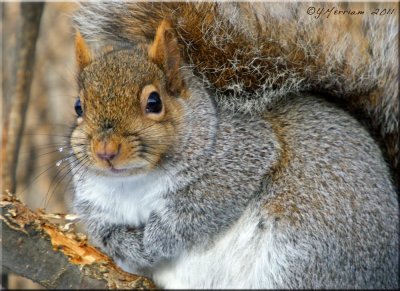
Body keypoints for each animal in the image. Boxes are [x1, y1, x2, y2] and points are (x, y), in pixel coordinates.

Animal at [70, 16, 398, 290]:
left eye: (154, 102)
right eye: (78, 107)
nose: (105, 151)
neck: (134, 181)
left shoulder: (242, 158)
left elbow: (196, 213)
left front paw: (155, 241)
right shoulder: (95, 200)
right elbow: (102, 229)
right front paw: (125, 245)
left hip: (302, 257)